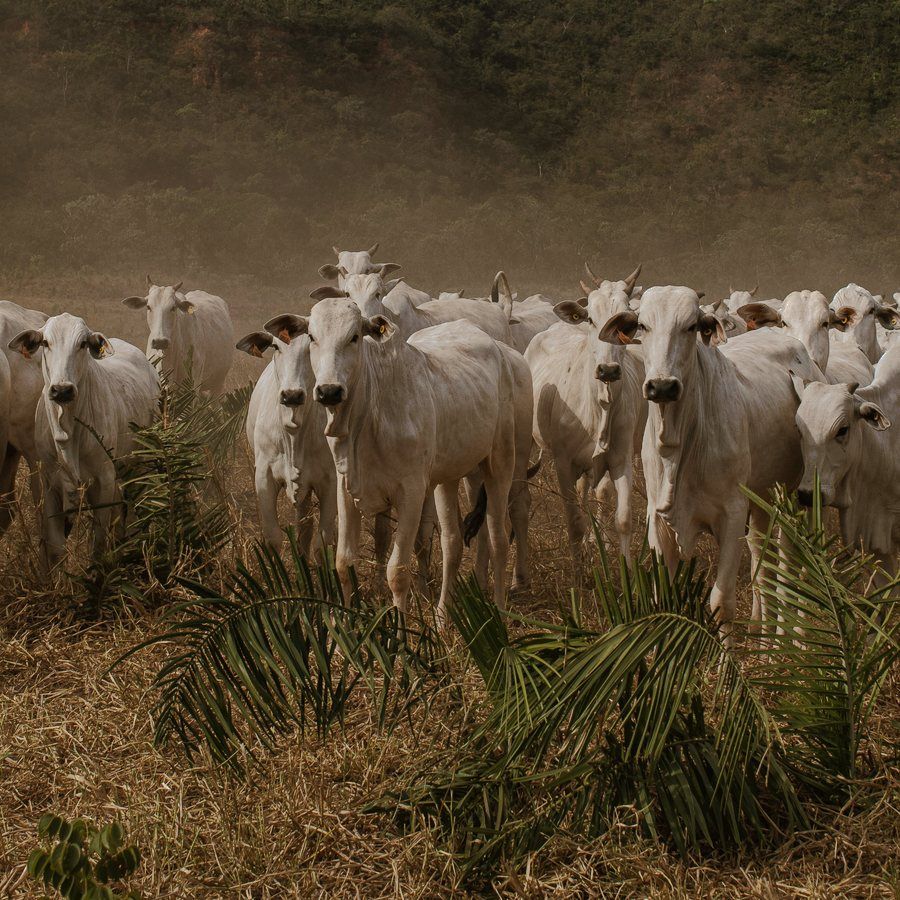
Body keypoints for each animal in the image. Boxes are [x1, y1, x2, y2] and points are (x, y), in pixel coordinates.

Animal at [8, 314, 159, 569]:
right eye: (45, 342)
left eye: (82, 344)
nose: (62, 390)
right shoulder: (51, 485)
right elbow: (56, 548)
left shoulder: (104, 482)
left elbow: (98, 548)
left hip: (142, 467)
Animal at [237, 328, 336, 559]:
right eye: (275, 346)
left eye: (311, 344)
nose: (292, 395)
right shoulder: (264, 476)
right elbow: (273, 537)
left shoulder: (331, 481)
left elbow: (322, 542)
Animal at [266, 299, 533, 620]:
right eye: (312, 338)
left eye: (355, 337)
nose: (329, 391)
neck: (370, 414)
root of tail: (502, 352)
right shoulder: (345, 487)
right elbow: (343, 562)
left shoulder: (412, 492)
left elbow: (398, 571)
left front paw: (401, 630)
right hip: (448, 477)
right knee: (452, 543)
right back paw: (442, 617)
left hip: (502, 463)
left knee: (498, 539)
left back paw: (500, 611)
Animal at [526, 265, 645, 565]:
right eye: (590, 318)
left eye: (628, 323)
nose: (608, 370)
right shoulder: (563, 462)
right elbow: (573, 523)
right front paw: (578, 571)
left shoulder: (621, 458)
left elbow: (622, 518)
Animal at [599, 286, 823, 645]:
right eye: (643, 326)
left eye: (691, 326)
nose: (662, 386)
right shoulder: (657, 520)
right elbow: (666, 596)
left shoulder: (731, 516)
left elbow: (722, 603)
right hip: (761, 503)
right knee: (763, 571)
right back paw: (763, 640)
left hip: (792, 500)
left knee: (789, 570)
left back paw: (786, 640)